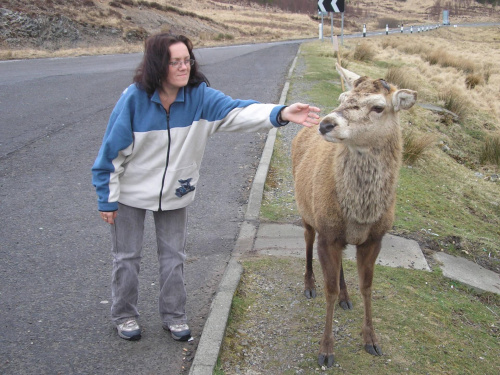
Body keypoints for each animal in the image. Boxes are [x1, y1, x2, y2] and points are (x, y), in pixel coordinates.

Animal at [292, 64, 416, 368]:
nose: (326, 123)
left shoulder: (374, 239)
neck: (360, 215)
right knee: (307, 241)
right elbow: (329, 290)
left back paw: (346, 297)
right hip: (306, 211)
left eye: (379, 107)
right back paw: (309, 284)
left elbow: (367, 287)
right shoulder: (327, 234)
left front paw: (371, 340)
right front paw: (326, 350)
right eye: (342, 96)